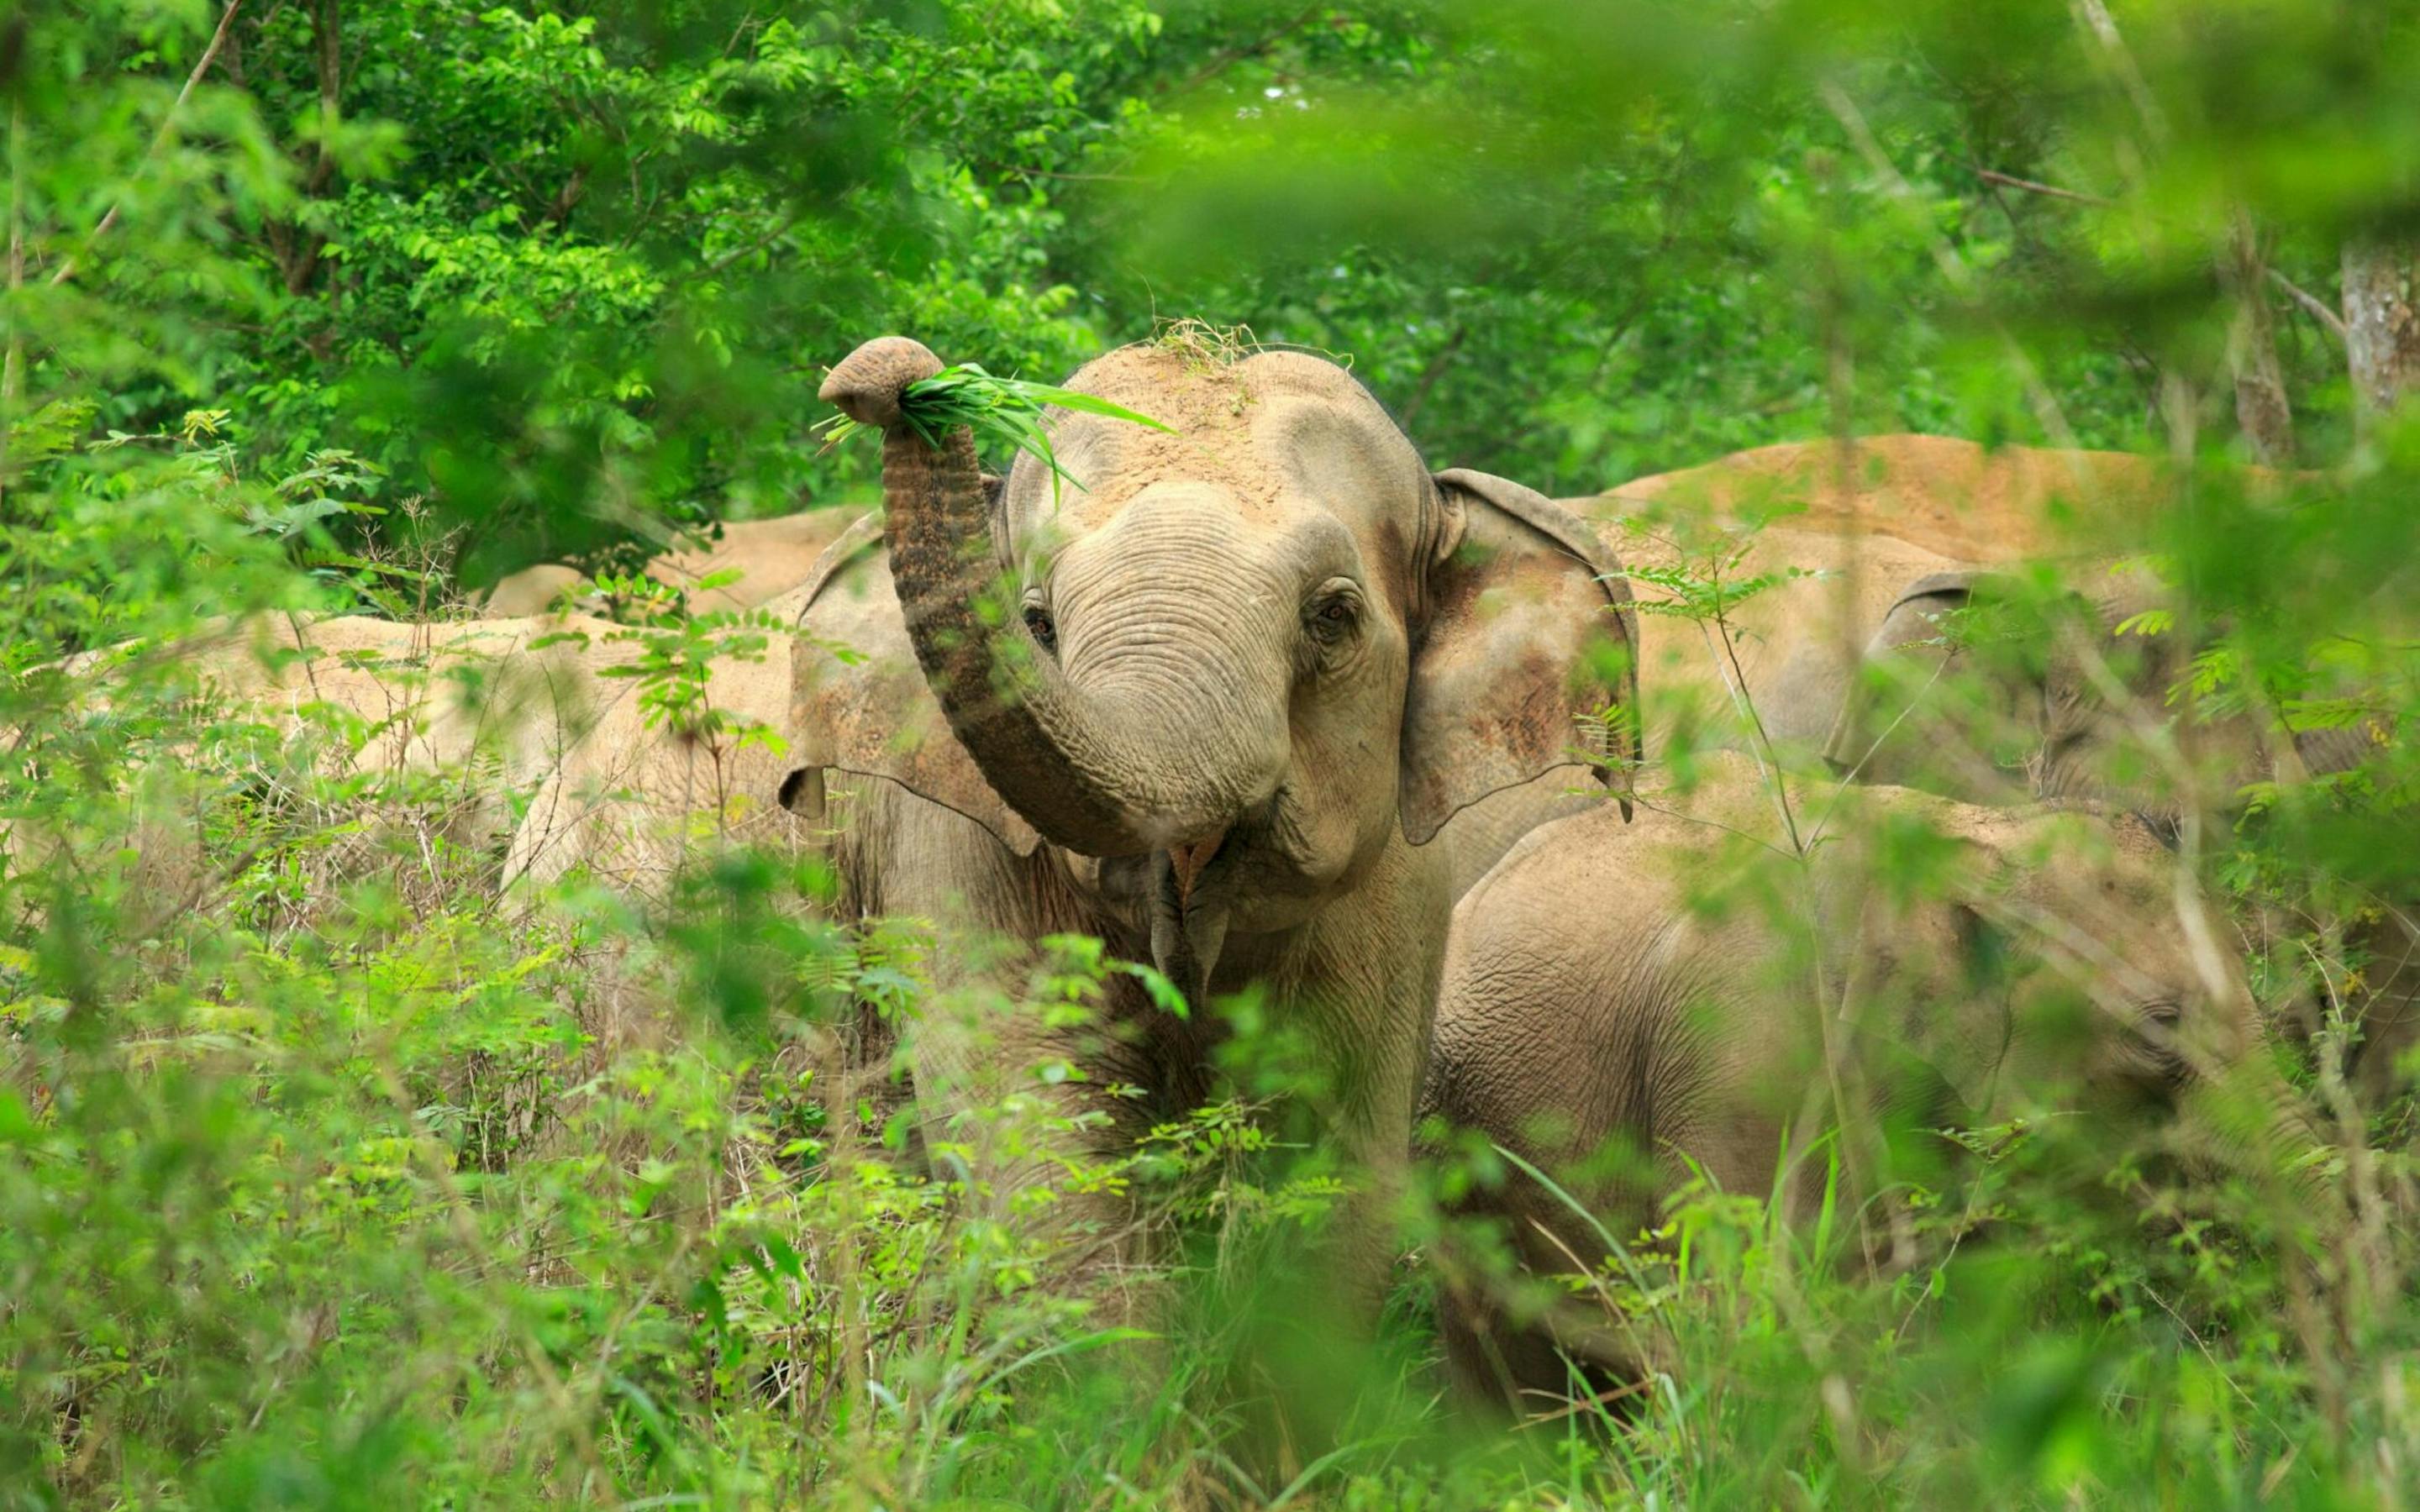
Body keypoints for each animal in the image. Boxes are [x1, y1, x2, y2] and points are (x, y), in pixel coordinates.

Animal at [775, 334, 1640, 1327]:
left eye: (1332, 616)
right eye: (1036, 624)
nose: (887, 379)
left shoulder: (1393, 904)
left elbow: (1330, 1172)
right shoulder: (960, 861)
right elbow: (1040, 1145)